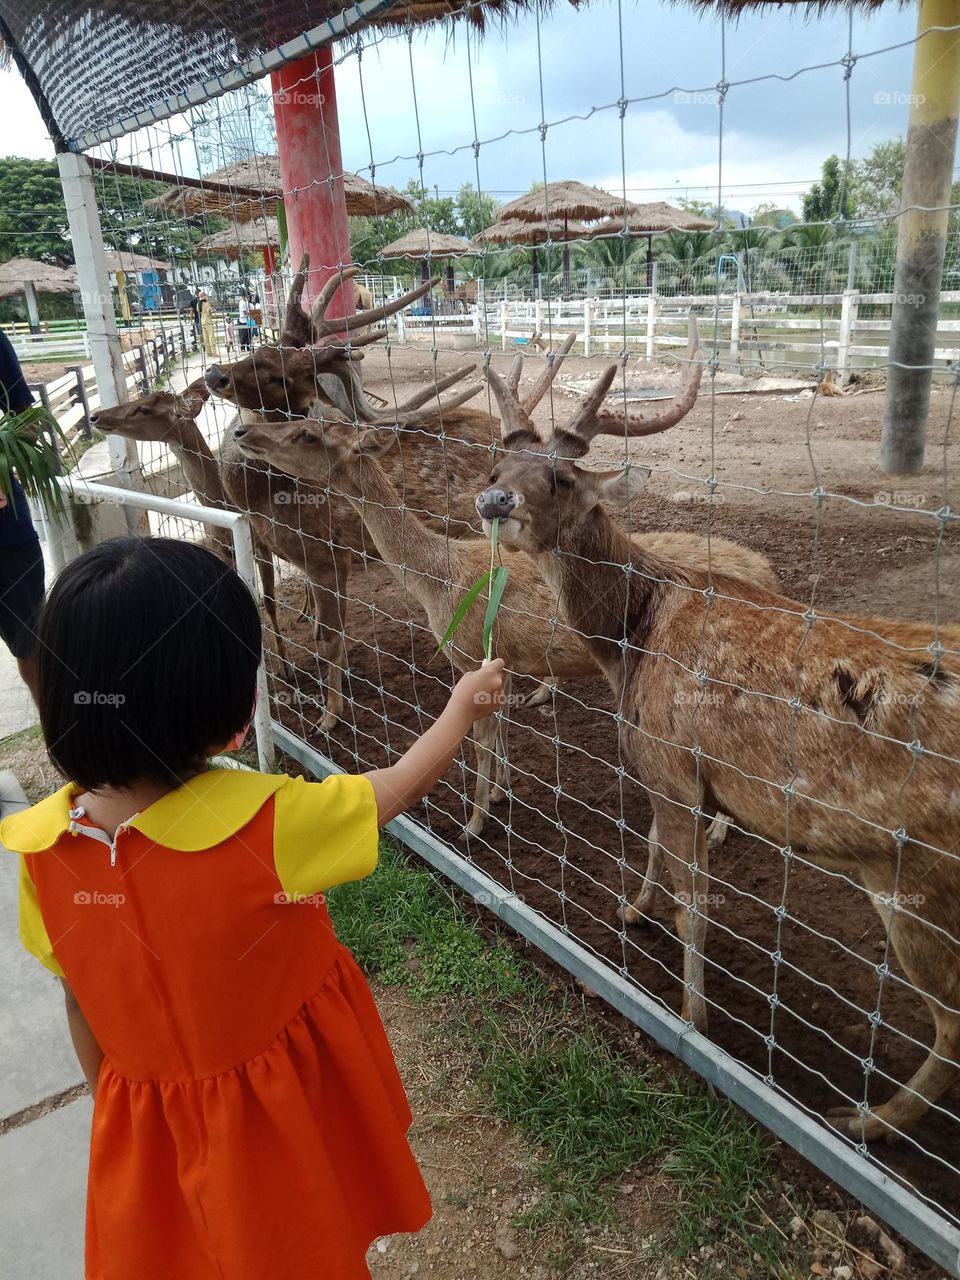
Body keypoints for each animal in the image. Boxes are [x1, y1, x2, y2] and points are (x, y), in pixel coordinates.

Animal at [474, 317, 960, 1143]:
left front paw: (693, 1021)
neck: (631, 643)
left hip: (914, 873)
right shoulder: (672, 768)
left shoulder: (672, 761)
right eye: (499, 458)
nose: (494, 499)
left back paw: (868, 1118)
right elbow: (652, 848)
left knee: (951, 1016)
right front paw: (631, 907)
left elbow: (694, 906)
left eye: (563, 478)